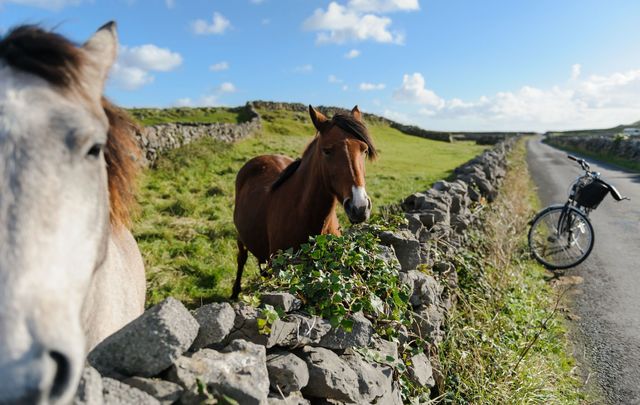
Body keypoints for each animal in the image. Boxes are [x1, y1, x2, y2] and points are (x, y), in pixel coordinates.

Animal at [230, 105, 378, 296]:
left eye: (364, 150)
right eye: (327, 151)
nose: (359, 207)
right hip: (241, 236)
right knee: (242, 258)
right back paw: (235, 291)